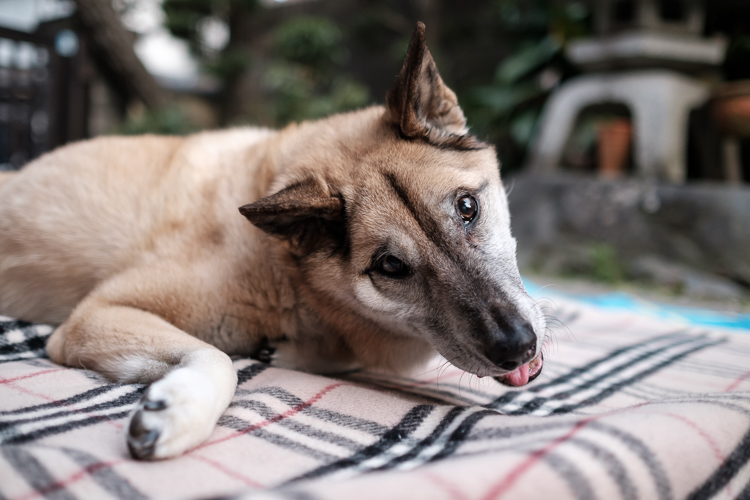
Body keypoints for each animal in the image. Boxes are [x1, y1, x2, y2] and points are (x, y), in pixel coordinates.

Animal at [0, 24, 548, 460]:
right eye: (391, 266)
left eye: (467, 207)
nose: (518, 348)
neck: (286, 274)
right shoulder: (96, 315)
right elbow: (219, 358)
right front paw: (178, 411)